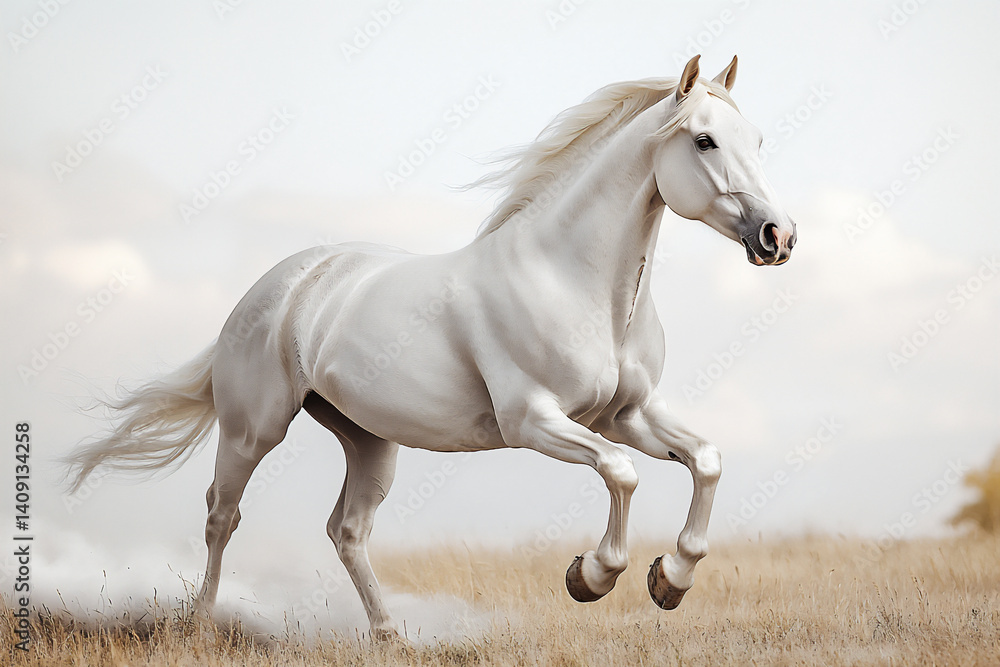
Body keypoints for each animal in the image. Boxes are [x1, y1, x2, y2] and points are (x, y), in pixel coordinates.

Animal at [66, 54, 797, 641]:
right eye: (703, 140)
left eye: (757, 139)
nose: (778, 236)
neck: (575, 283)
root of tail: (283, 282)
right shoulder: (535, 421)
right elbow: (621, 473)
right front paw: (591, 576)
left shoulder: (628, 414)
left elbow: (705, 459)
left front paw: (670, 578)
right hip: (254, 429)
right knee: (223, 514)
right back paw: (200, 624)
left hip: (368, 441)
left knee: (347, 531)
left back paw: (390, 634)